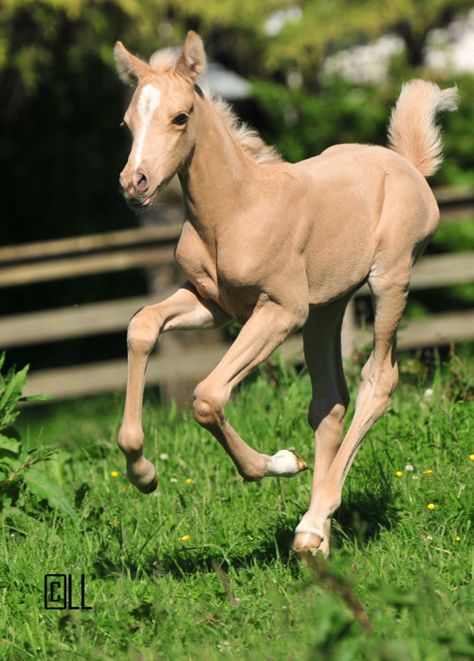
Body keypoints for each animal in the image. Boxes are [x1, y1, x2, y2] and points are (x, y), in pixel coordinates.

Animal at [113, 32, 458, 556]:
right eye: (128, 122)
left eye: (180, 117)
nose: (136, 184)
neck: (235, 210)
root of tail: (408, 165)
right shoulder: (212, 304)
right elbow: (142, 326)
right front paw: (144, 474)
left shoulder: (280, 311)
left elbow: (208, 396)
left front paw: (281, 462)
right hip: (325, 309)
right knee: (329, 402)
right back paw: (319, 540)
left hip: (388, 282)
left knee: (378, 380)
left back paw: (312, 524)